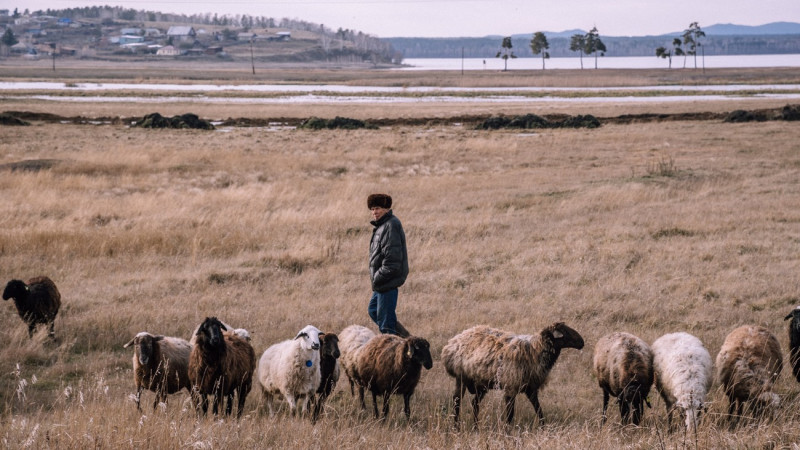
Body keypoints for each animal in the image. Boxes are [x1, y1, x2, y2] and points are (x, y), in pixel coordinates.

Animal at [440, 322, 584, 428]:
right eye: (565, 332)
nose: (582, 342)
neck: (534, 351)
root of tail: (454, 340)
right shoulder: (510, 388)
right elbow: (510, 414)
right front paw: (507, 432)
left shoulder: (530, 388)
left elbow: (538, 408)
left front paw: (543, 427)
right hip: (461, 377)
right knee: (457, 400)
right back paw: (456, 426)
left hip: (481, 383)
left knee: (474, 403)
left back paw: (476, 426)